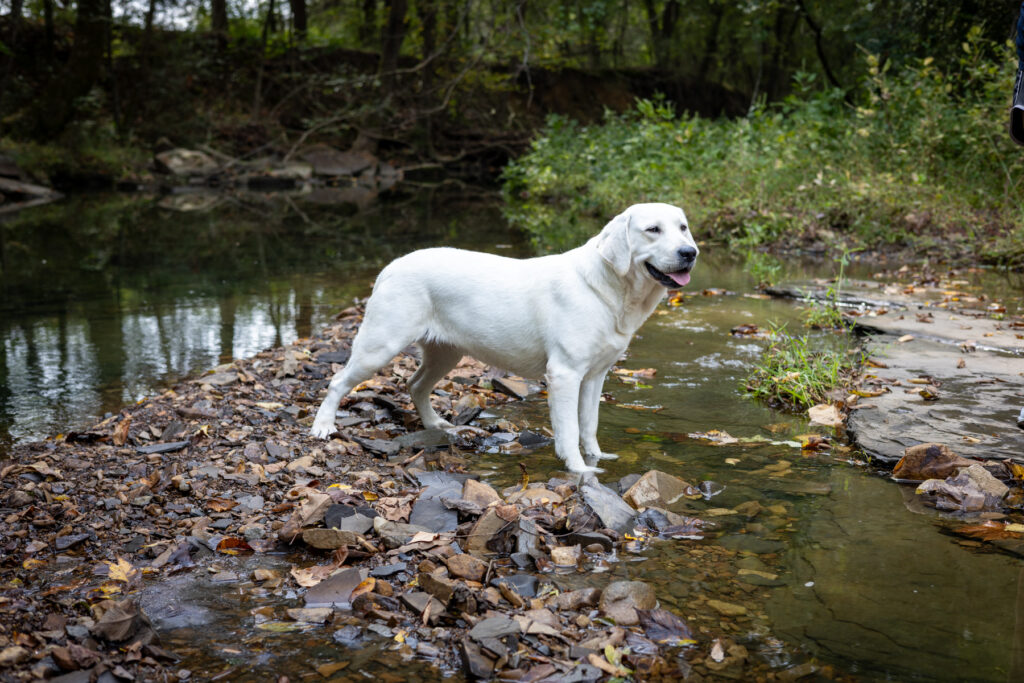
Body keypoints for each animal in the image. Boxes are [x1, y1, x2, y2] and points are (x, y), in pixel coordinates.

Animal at [309, 200, 696, 473]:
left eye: (683, 228)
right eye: (652, 230)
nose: (689, 252)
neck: (610, 289)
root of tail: (391, 266)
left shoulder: (595, 376)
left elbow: (589, 424)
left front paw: (597, 458)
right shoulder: (565, 374)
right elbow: (569, 429)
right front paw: (579, 470)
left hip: (445, 353)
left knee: (416, 384)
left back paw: (436, 424)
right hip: (381, 342)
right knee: (339, 380)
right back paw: (323, 427)